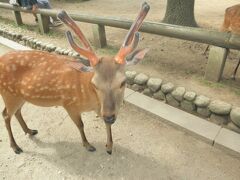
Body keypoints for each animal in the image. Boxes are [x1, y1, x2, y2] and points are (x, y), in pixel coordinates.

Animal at [0, 1, 150, 155]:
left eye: (123, 82)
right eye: (94, 84)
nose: (109, 116)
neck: (89, 99)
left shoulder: (100, 108)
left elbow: (105, 123)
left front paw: (109, 146)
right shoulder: (68, 104)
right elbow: (80, 125)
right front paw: (88, 145)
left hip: (20, 96)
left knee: (17, 112)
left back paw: (30, 131)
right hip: (8, 94)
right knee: (5, 115)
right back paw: (15, 146)